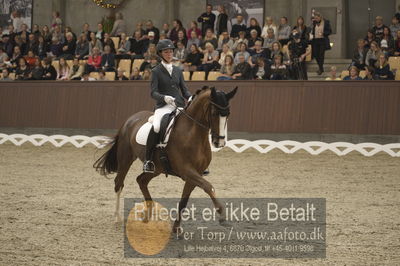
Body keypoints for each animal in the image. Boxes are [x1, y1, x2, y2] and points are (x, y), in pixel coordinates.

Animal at [94, 85, 238, 231]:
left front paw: (176, 228)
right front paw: (222, 216)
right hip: (126, 158)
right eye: (214, 113)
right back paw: (117, 218)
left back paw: (147, 214)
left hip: (157, 168)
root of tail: (129, 120)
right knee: (119, 183)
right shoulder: (186, 171)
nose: (219, 143)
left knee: (141, 180)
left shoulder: (195, 174)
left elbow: (184, 201)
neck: (193, 134)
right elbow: (209, 187)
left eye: (228, 114)